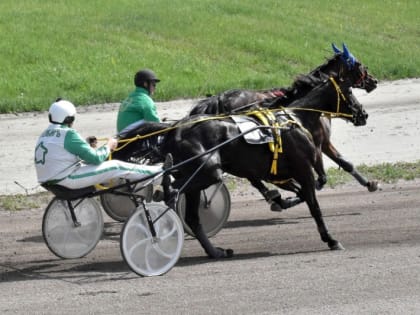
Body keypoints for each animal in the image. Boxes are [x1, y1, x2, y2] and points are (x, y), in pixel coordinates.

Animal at [116, 73, 366, 260]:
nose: (363, 113)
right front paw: (330, 239)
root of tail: (175, 128)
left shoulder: (279, 172)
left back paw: (215, 251)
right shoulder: (303, 169)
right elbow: (314, 204)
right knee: (174, 191)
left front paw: (282, 200)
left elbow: (300, 191)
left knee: (192, 217)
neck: (294, 119)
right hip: (207, 171)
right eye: (349, 91)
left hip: (198, 176)